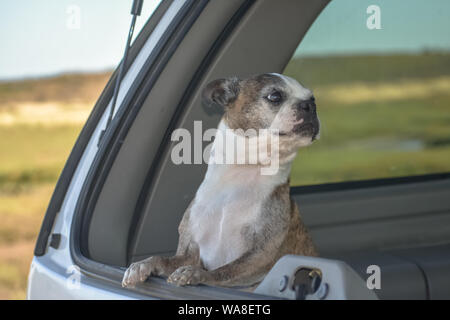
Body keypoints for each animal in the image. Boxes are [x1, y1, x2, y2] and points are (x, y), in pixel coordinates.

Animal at [121, 73, 320, 290]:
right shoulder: (190, 252)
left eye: (312, 98)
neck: (244, 173)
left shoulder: (261, 255)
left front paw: (197, 274)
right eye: (275, 96)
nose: (310, 105)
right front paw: (142, 265)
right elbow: (163, 259)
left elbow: (224, 271)